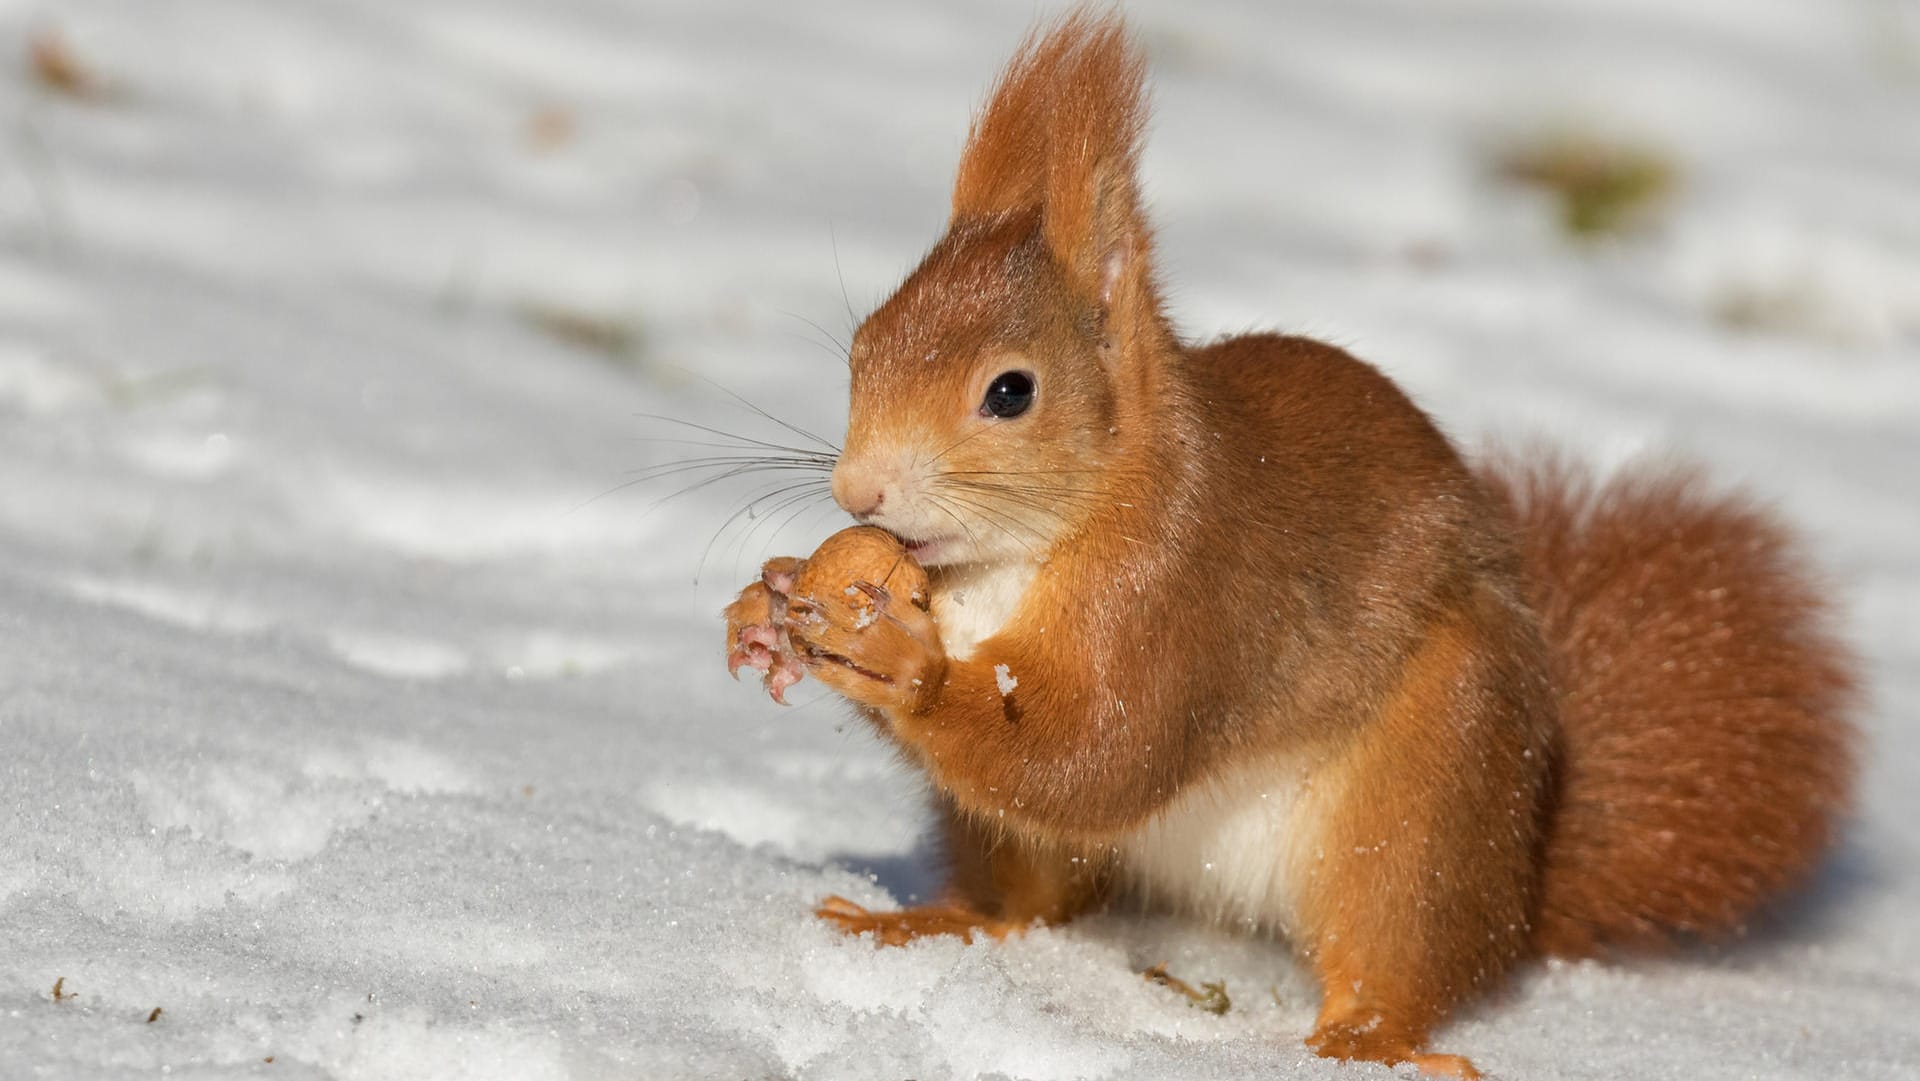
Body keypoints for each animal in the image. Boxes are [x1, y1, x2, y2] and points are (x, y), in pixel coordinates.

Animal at [721, 12, 1858, 1075]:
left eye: (1011, 391)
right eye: (863, 347)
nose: (856, 487)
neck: (1007, 561)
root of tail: (1520, 875)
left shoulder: (1184, 586)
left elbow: (1095, 751)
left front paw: (897, 664)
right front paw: (768, 606)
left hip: (1429, 783)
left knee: (1396, 940)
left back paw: (1367, 1036)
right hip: (1022, 842)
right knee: (1030, 903)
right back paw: (929, 921)